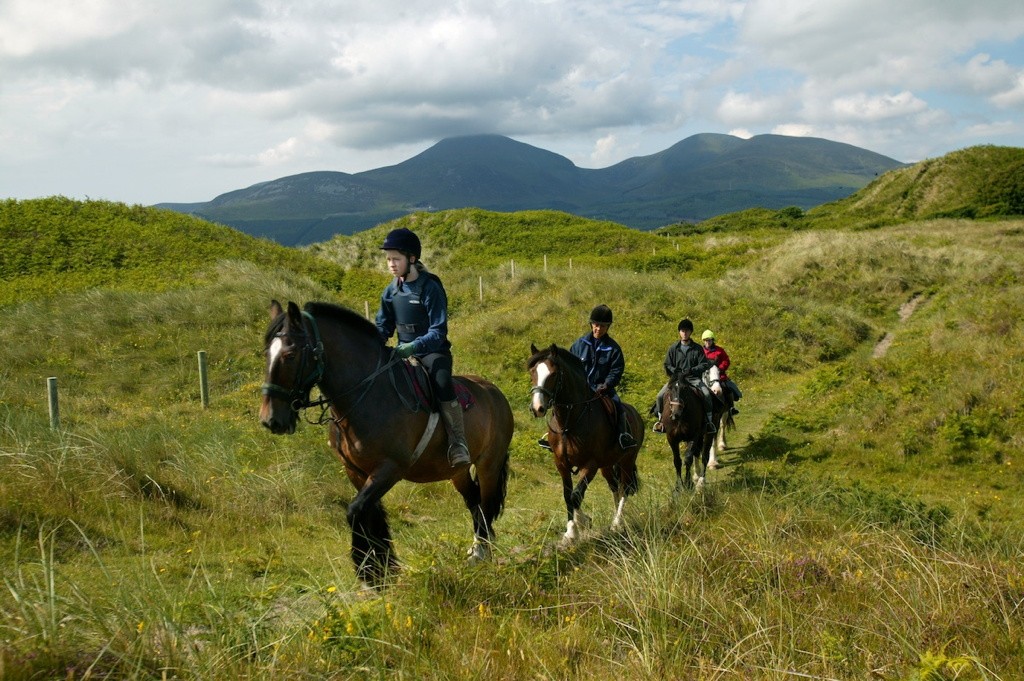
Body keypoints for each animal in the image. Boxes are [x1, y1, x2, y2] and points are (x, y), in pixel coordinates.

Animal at [256, 301, 512, 585]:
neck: (366, 396)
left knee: (486, 505)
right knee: (473, 502)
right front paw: (384, 570)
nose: (271, 420)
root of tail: (495, 392)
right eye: (267, 353)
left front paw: (369, 572)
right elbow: (371, 515)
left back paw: (483, 551)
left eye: (290, 355)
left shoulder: (389, 470)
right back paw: (476, 550)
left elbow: (356, 511)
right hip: (457, 472)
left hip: (489, 465)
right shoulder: (356, 472)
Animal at [528, 342, 638, 544]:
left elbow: (576, 495)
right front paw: (575, 528)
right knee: (615, 488)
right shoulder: (561, 464)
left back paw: (617, 522)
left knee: (625, 489)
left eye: (553, 374)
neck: (569, 423)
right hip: (607, 466)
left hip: (627, 461)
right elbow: (568, 496)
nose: (537, 408)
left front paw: (577, 528)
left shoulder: (590, 465)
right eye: (533, 372)